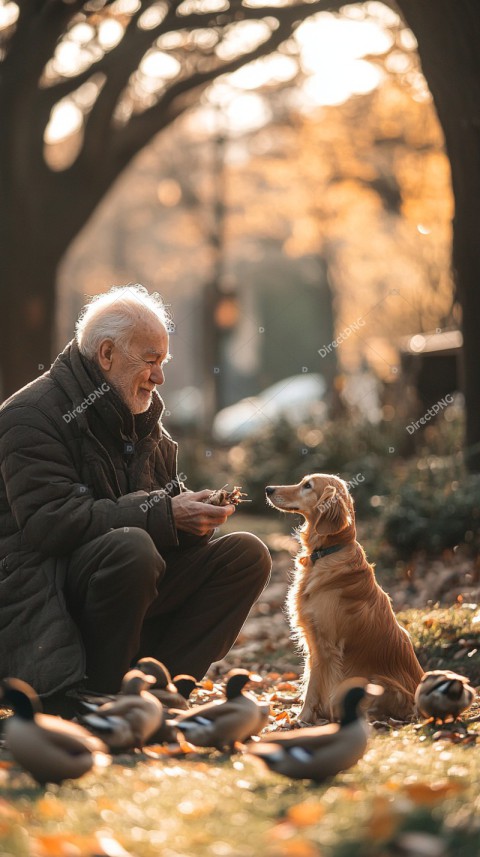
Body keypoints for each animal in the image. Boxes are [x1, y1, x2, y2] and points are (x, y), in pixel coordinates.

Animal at [266, 474, 424, 724]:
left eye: (307, 486)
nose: (268, 489)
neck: (328, 551)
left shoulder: (324, 644)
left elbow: (313, 685)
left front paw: (303, 718)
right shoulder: (312, 640)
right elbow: (308, 678)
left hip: (377, 683)